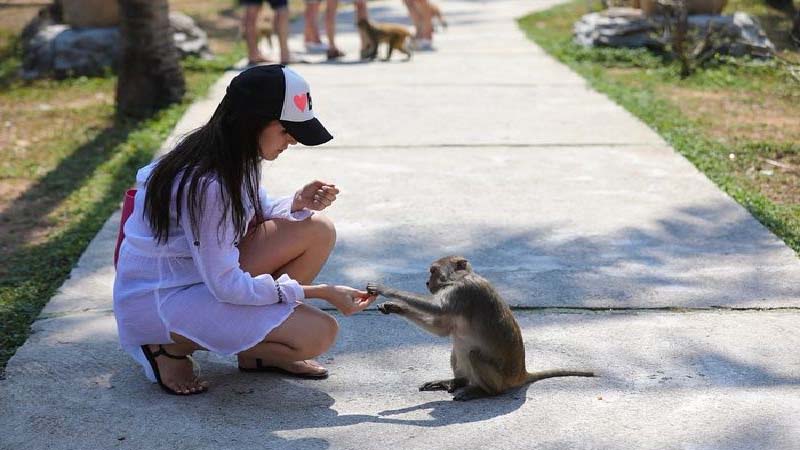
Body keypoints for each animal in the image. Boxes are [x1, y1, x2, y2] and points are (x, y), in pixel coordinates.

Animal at [368, 256, 592, 400]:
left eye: (433, 271)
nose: (426, 282)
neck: (460, 278)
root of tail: (521, 374)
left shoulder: (463, 292)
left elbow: (436, 308)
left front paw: (385, 289)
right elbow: (442, 329)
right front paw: (394, 307)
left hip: (500, 380)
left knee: (474, 355)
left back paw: (482, 392)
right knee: (456, 347)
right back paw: (456, 381)